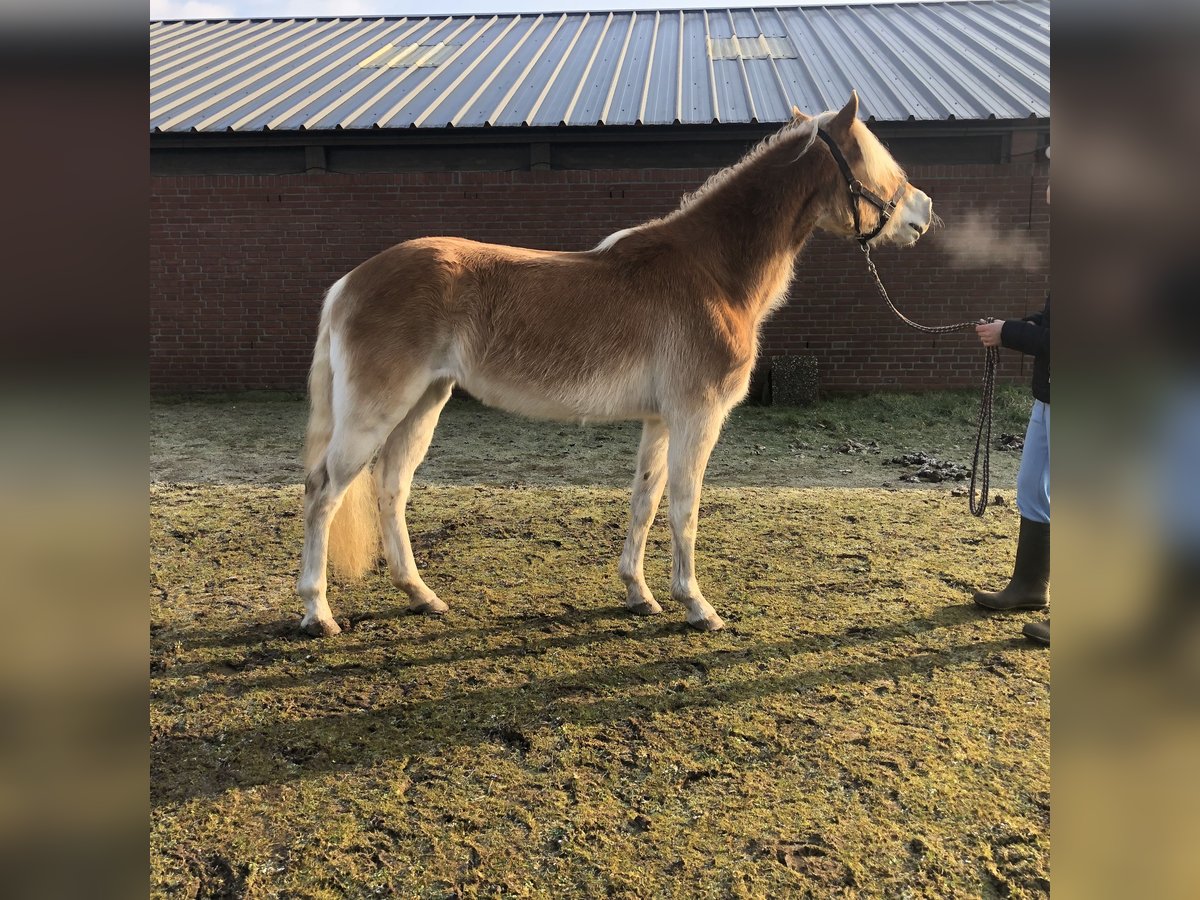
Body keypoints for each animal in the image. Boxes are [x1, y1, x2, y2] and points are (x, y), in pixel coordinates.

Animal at [295, 91, 931, 638]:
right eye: (879, 161)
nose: (924, 212)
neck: (711, 272)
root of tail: (349, 283)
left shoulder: (660, 420)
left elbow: (645, 501)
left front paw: (639, 594)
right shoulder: (698, 416)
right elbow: (684, 507)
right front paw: (696, 605)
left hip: (423, 404)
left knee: (391, 489)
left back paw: (422, 596)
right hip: (376, 412)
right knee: (323, 491)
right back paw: (317, 612)